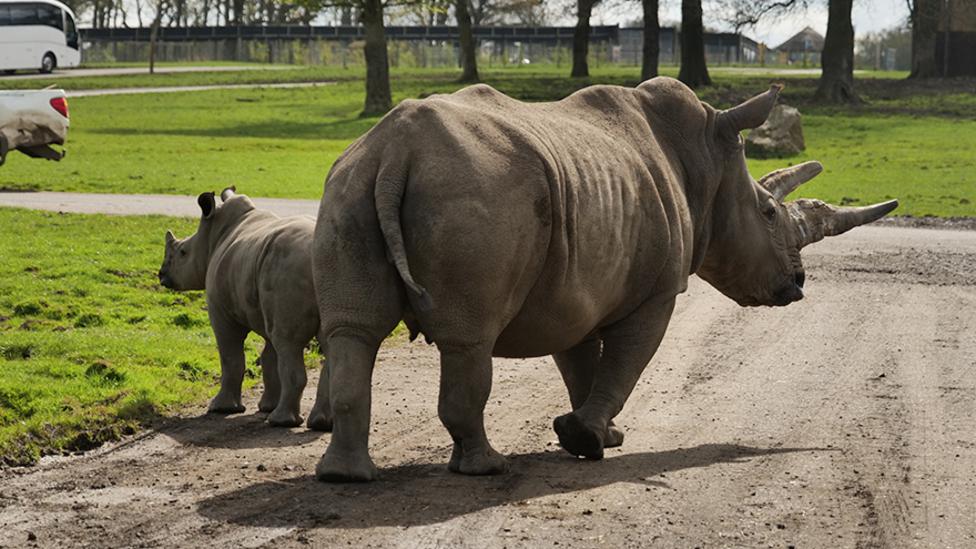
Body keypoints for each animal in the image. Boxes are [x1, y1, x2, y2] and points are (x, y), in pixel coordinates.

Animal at [157, 188, 332, 428]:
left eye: (183, 252)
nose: (161, 274)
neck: (212, 237)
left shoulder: (221, 311)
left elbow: (231, 359)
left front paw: (221, 408)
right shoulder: (264, 309)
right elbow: (269, 358)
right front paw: (266, 406)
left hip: (287, 269)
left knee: (288, 343)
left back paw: (281, 421)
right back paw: (320, 423)